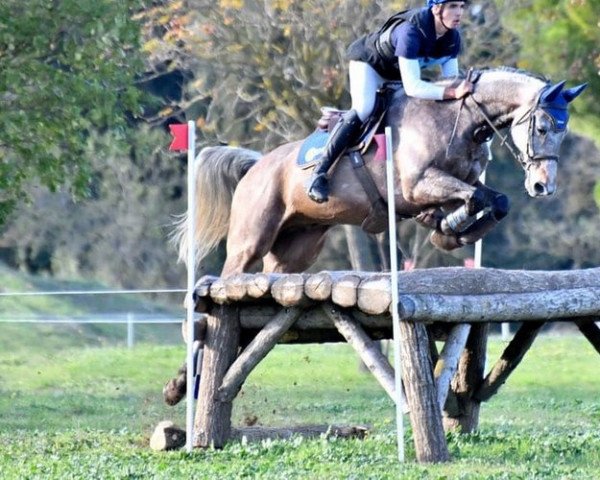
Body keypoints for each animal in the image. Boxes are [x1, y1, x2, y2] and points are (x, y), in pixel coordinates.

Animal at [173, 67, 584, 278]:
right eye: (542, 128)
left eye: (564, 133)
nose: (543, 186)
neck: (459, 119)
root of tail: (256, 166)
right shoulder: (418, 186)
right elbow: (479, 197)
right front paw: (448, 231)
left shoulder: (455, 183)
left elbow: (494, 200)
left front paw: (449, 231)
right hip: (250, 240)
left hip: (297, 250)